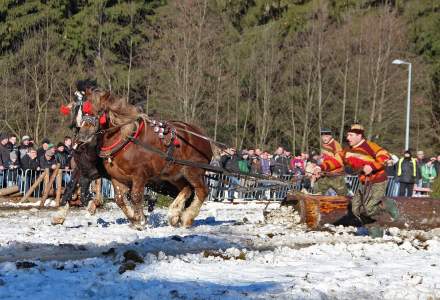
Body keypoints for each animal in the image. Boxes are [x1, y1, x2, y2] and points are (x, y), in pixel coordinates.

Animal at [76, 89, 213, 230]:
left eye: (99, 111)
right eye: (83, 111)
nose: (82, 136)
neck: (126, 141)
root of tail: (202, 137)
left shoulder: (139, 176)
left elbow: (135, 197)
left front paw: (140, 221)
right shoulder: (117, 178)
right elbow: (120, 200)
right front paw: (135, 219)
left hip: (193, 171)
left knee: (202, 191)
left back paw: (187, 218)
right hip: (175, 175)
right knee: (187, 188)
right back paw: (174, 215)